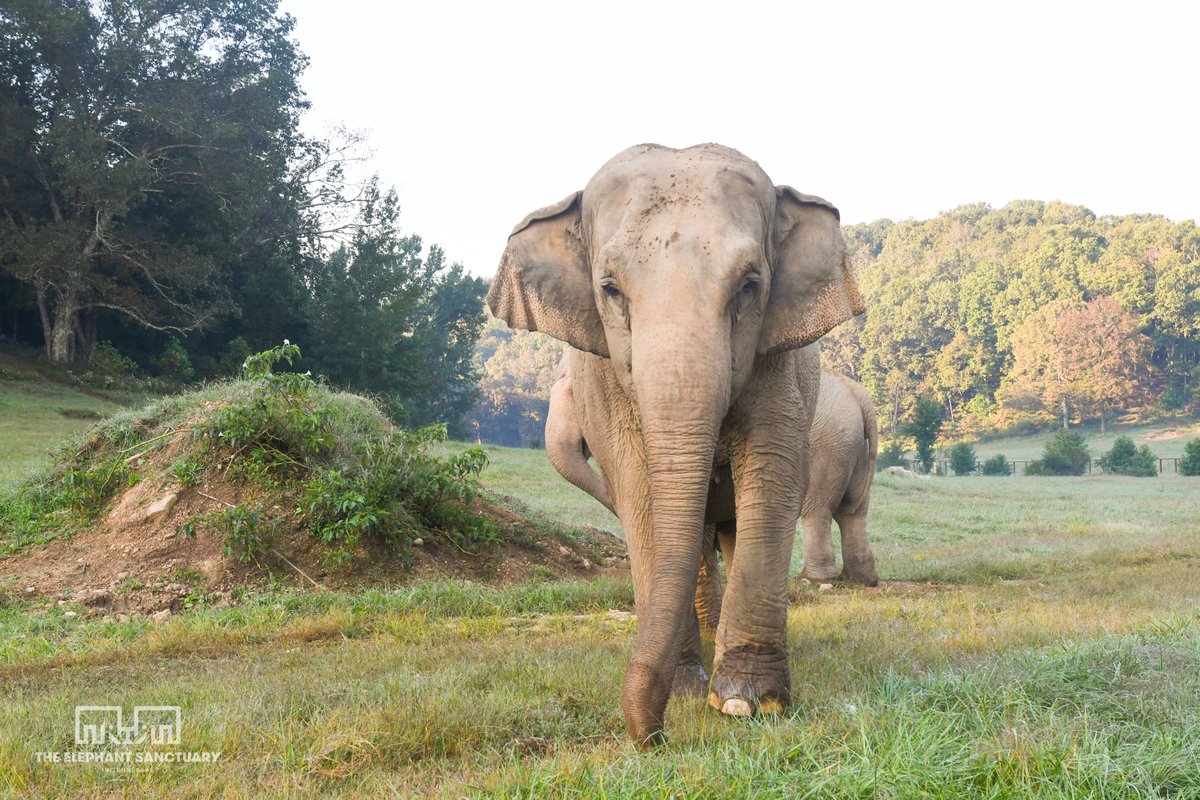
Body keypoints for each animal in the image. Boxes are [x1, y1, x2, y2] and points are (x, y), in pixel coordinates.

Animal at [487, 143, 863, 746]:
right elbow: (637, 487)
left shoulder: (781, 363)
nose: (654, 738)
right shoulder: (604, 378)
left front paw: (747, 703)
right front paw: (688, 690)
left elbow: (773, 476)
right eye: (610, 289)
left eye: (749, 285)